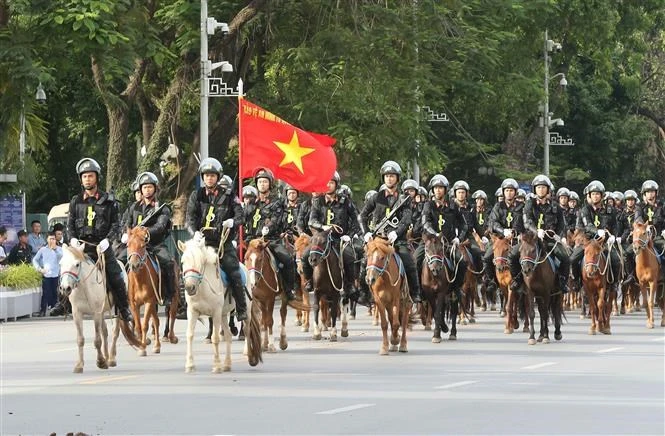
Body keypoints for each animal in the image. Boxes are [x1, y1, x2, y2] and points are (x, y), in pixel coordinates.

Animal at [59, 244, 143, 372]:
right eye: (61, 264)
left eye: (77, 264)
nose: (65, 288)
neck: (84, 287)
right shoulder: (77, 313)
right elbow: (80, 339)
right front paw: (79, 365)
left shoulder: (96, 313)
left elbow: (97, 340)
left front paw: (101, 361)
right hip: (103, 312)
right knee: (105, 332)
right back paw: (107, 356)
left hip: (115, 310)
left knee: (114, 332)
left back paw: (111, 358)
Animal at [178, 237, 260, 372]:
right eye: (183, 262)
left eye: (200, 262)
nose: (190, 287)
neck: (203, 288)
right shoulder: (193, 311)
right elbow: (190, 335)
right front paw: (190, 365)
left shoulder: (215, 312)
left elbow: (215, 338)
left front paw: (216, 365)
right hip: (223, 314)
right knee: (228, 335)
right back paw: (227, 364)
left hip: (246, 311)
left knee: (247, 330)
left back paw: (250, 358)